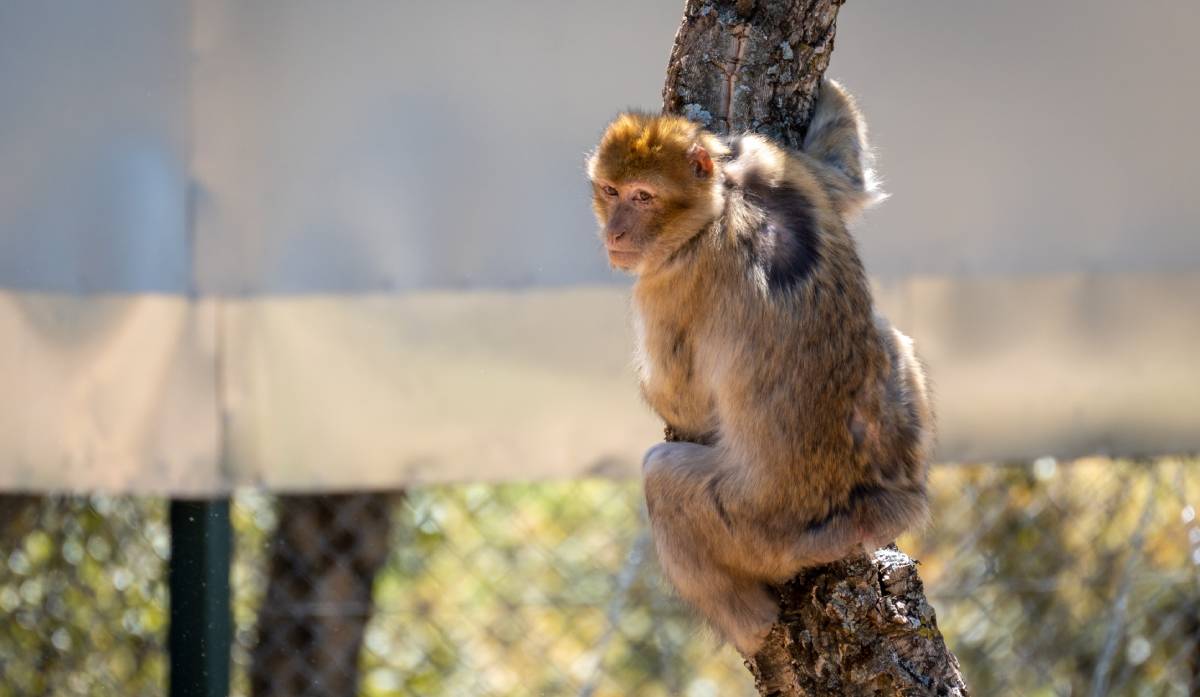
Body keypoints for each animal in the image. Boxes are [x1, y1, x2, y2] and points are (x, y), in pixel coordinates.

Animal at [586, 80, 933, 656]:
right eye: (611, 191)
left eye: (643, 196)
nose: (615, 232)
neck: (725, 197)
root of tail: (863, 510)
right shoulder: (769, 158)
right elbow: (844, 183)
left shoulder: (669, 277)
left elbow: (681, 399)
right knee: (892, 338)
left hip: (757, 530)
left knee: (661, 473)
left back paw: (751, 625)